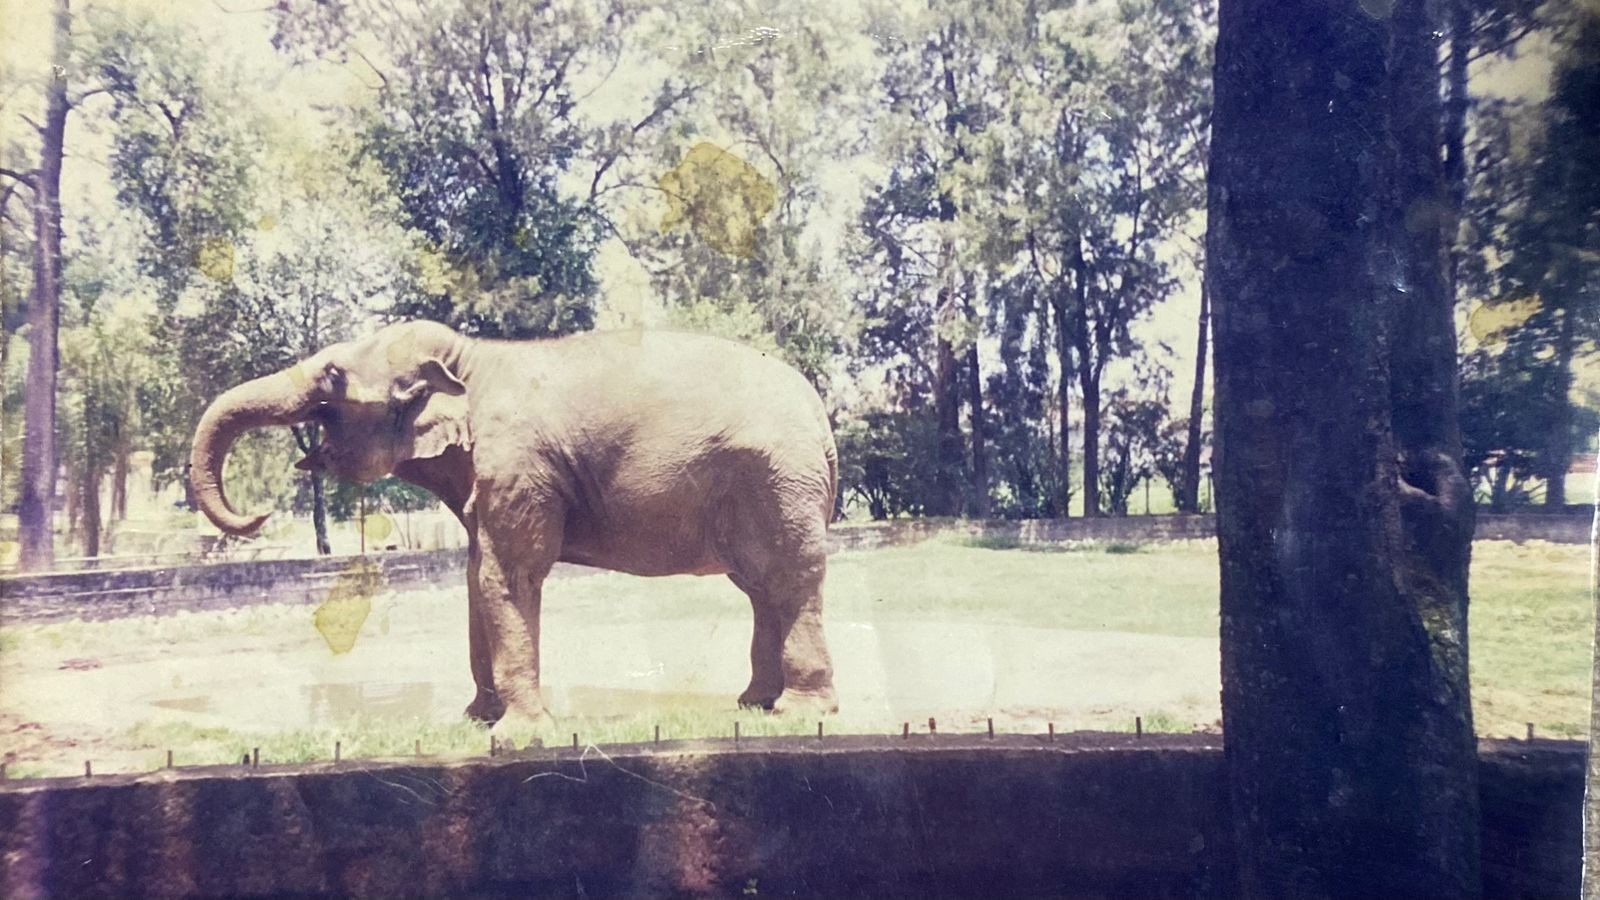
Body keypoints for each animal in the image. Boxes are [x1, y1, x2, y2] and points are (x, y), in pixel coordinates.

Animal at [189, 320, 839, 740]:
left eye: (331, 375)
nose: (260, 513)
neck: (469, 359)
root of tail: (819, 414)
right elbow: (479, 574)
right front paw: (477, 720)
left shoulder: (518, 466)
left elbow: (511, 575)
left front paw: (518, 734)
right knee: (761, 586)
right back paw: (754, 706)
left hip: (778, 478)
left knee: (789, 577)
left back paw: (800, 715)